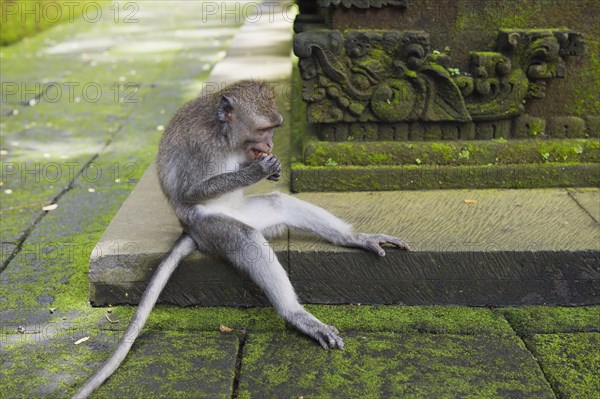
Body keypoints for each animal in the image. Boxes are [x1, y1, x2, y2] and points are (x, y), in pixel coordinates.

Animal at [71, 79, 408, 398]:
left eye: (274, 129)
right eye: (263, 129)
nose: (270, 144)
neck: (224, 136)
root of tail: (189, 231)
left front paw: (270, 169)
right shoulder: (203, 148)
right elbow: (191, 191)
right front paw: (256, 171)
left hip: (250, 214)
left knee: (279, 204)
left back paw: (355, 238)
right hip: (211, 229)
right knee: (245, 238)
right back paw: (297, 315)